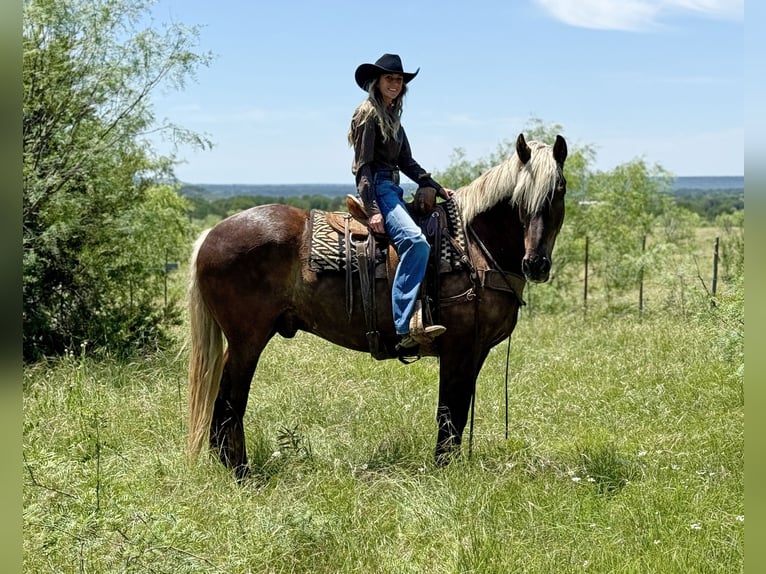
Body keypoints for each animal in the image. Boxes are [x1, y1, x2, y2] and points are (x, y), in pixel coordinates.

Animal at [187, 133, 568, 478]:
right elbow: (450, 410)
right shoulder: (459, 347)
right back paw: (243, 476)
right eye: (520, 197)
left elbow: (457, 411)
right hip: (247, 341)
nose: (535, 264)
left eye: (560, 189)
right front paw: (444, 472)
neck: (472, 247)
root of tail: (209, 235)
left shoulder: (475, 350)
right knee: (229, 402)